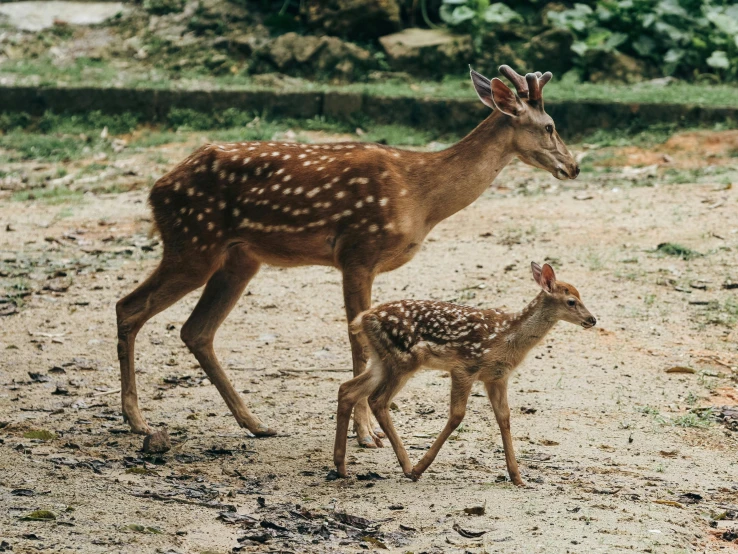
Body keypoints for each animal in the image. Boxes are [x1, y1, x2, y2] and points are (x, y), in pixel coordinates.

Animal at [115, 64, 576, 444]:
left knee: (196, 330)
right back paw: (137, 420)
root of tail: (156, 190)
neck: (421, 196)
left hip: (239, 257)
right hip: (193, 242)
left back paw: (255, 423)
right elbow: (357, 342)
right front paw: (366, 433)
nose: (574, 167)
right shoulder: (359, 250)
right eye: (550, 125)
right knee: (129, 306)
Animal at [332, 260, 592, 480]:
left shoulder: (497, 377)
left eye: (581, 295)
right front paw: (421, 467)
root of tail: (363, 318)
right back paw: (407, 467)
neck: (507, 337)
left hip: (382, 360)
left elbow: (504, 418)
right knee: (377, 400)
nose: (592, 320)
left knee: (347, 389)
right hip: (402, 359)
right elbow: (457, 416)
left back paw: (341, 466)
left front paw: (517, 478)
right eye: (571, 301)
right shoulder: (464, 367)